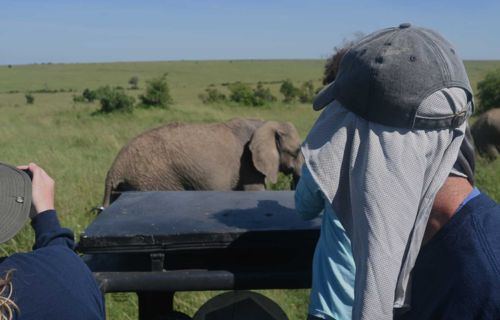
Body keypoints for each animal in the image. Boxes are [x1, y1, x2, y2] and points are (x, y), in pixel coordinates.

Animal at [102, 119, 304, 206]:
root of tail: (114, 169)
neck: (266, 123)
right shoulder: (248, 163)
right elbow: (255, 192)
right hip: (152, 180)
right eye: (296, 152)